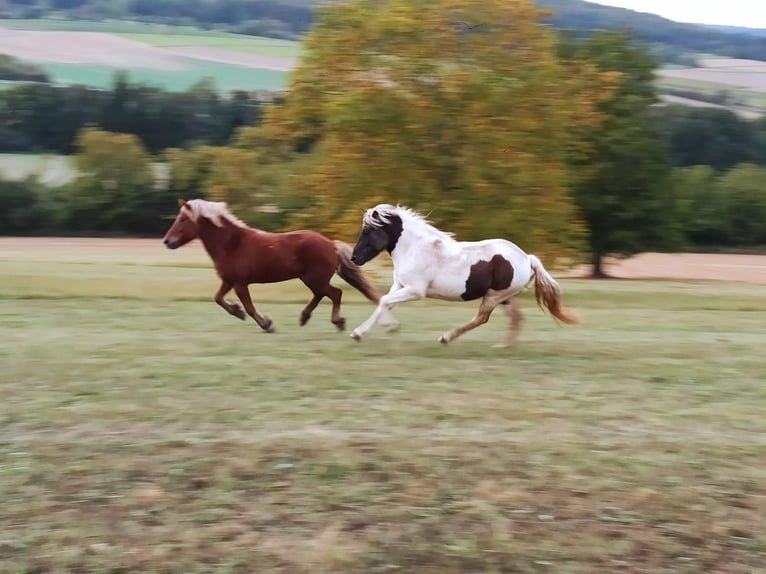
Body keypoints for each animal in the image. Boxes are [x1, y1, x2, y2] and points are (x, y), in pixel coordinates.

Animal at [163, 200, 384, 332]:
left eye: (183, 219)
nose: (167, 241)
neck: (231, 244)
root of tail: (331, 244)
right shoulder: (229, 281)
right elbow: (218, 298)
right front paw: (237, 311)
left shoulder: (240, 284)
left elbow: (250, 307)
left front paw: (266, 324)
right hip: (311, 279)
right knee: (322, 295)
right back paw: (304, 317)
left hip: (315, 279)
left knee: (335, 294)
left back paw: (337, 322)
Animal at [352, 205, 580, 346]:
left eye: (367, 232)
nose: (354, 258)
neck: (414, 249)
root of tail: (526, 258)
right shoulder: (400, 285)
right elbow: (385, 302)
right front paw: (376, 329)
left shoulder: (415, 291)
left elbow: (383, 301)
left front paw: (362, 332)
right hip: (505, 297)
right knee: (516, 318)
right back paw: (504, 347)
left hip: (494, 296)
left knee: (482, 318)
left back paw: (446, 338)